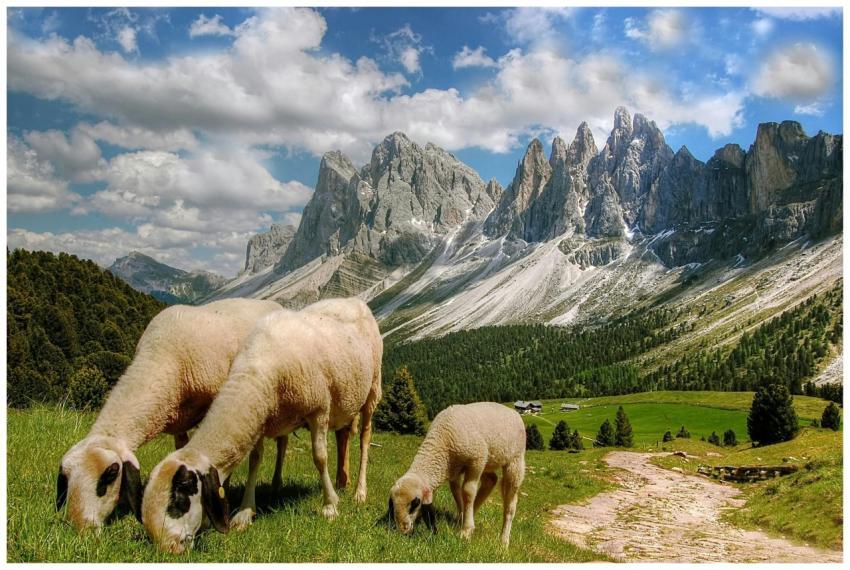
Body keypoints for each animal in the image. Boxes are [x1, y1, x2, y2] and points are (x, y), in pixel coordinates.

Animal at [56, 298, 283, 532]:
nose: (81, 526)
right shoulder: (178, 418)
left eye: (110, 474)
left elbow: (247, 457)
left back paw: (271, 488)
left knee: (274, 448)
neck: (161, 355)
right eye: (66, 476)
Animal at [141, 297, 382, 554]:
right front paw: (245, 513)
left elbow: (319, 457)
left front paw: (330, 506)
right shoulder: (261, 418)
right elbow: (254, 461)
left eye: (180, 499)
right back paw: (342, 483)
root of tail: (353, 300)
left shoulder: (318, 408)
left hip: (372, 389)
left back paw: (359, 492)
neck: (258, 371)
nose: (169, 549)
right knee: (343, 435)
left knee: (364, 439)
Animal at [388, 402, 526, 546]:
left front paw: (466, 531)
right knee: (491, 480)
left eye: (415, 504)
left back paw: (504, 541)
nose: (403, 531)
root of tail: (512, 411)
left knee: (510, 504)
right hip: (489, 460)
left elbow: (467, 492)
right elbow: (456, 491)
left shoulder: (476, 460)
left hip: (515, 461)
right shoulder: (454, 468)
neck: (442, 439)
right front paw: (461, 518)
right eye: (392, 504)